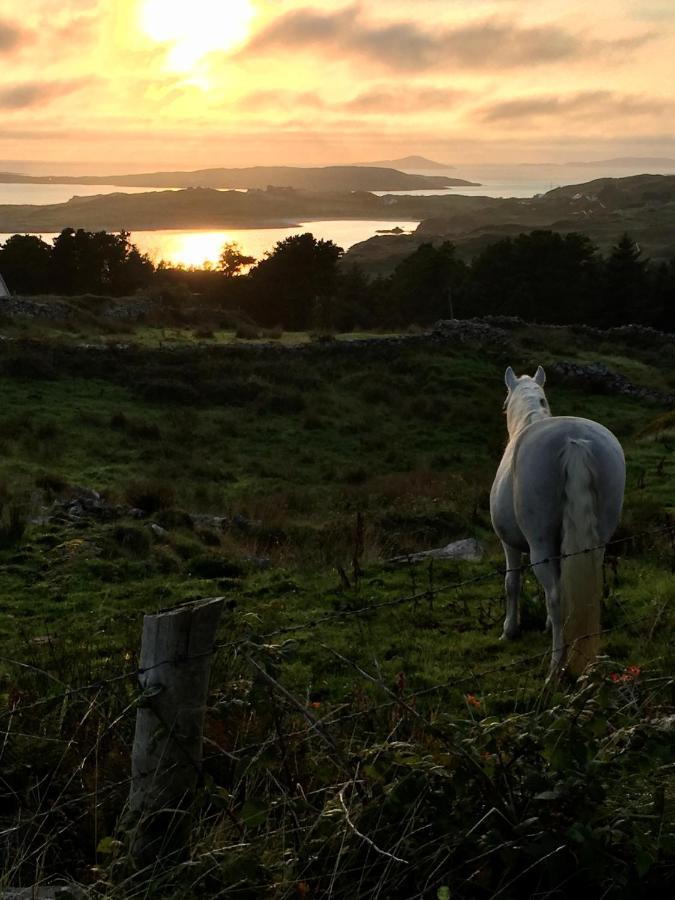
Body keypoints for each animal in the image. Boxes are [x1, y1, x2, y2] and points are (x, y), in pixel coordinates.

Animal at [492, 366, 628, 676]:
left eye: (504, 404)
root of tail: (574, 440)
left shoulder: (509, 544)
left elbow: (512, 583)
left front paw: (509, 630)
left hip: (540, 546)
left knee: (555, 596)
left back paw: (556, 667)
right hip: (597, 542)